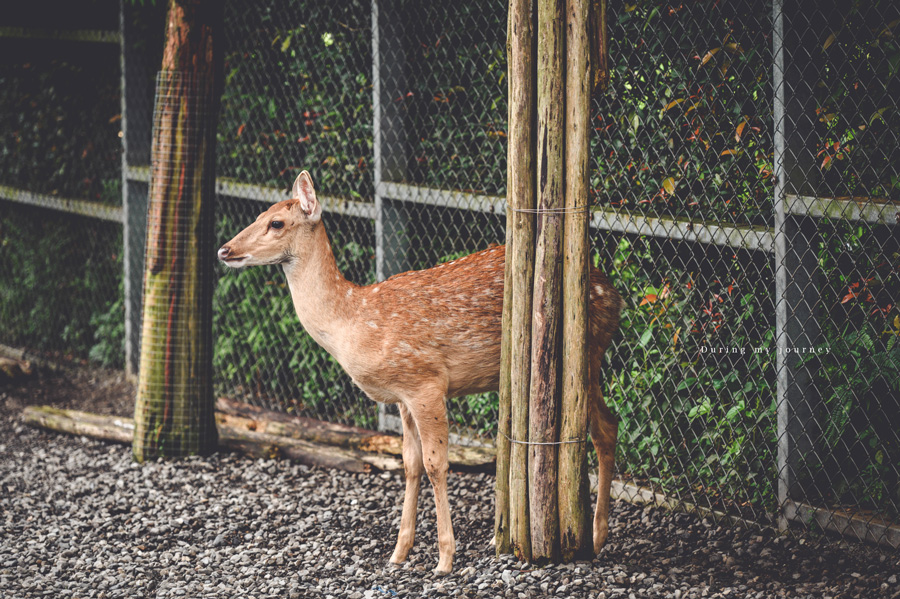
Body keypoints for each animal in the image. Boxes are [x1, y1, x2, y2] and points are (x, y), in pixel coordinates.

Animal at [221, 171, 624, 576]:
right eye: (259, 214)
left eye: (276, 223)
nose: (225, 249)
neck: (352, 322)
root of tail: (616, 295)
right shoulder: (400, 396)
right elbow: (410, 464)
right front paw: (399, 552)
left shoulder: (425, 381)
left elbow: (436, 464)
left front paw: (444, 558)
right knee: (609, 423)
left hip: (586, 352)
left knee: (605, 428)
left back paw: (596, 537)